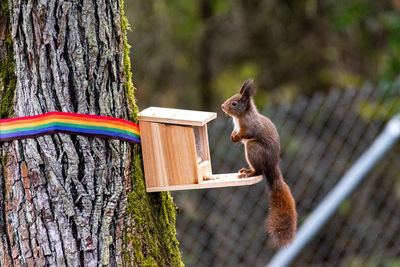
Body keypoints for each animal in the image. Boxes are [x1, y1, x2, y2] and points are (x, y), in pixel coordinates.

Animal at [220, 79, 298, 249]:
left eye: (234, 103)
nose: (222, 106)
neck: (241, 117)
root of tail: (272, 165)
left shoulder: (251, 126)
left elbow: (248, 134)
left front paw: (237, 136)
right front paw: (232, 135)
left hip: (253, 149)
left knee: (259, 171)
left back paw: (249, 173)